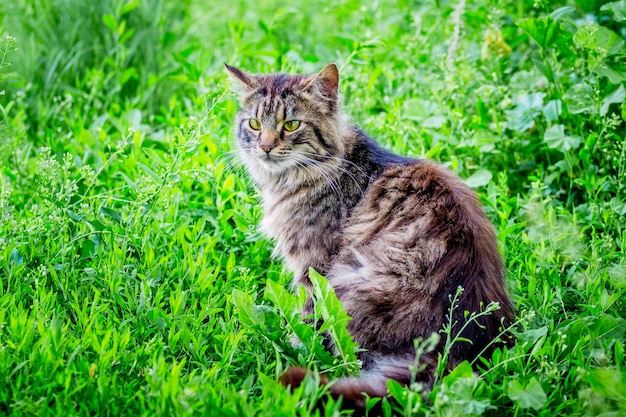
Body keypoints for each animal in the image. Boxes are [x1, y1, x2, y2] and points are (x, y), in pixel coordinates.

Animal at [224, 63, 512, 408]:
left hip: (349, 278)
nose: (265, 147)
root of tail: (454, 351)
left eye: (291, 125)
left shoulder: (313, 267)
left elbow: (307, 321)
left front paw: (294, 346)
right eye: (254, 124)